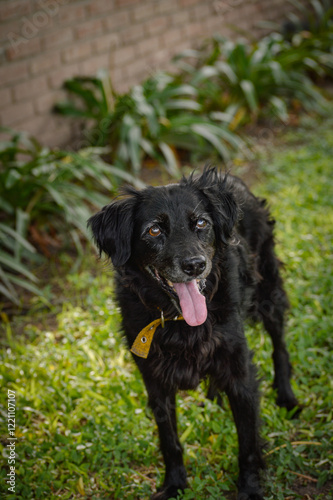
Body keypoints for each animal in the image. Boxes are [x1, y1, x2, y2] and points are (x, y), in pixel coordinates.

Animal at [88, 169, 298, 500]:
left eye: (201, 223)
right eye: (154, 231)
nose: (195, 265)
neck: (180, 321)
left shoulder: (240, 371)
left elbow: (248, 444)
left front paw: (250, 489)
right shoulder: (154, 380)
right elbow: (170, 441)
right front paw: (174, 485)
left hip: (269, 291)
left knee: (280, 345)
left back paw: (287, 396)